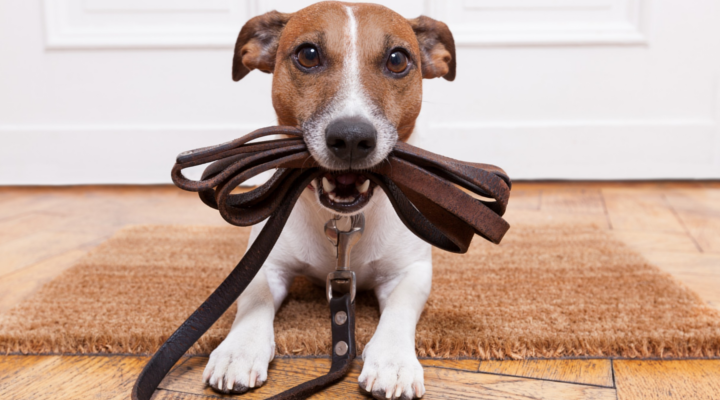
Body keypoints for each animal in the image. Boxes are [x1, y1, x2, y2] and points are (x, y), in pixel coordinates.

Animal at [201, 2, 456, 396]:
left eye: (397, 59)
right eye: (308, 54)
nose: (351, 137)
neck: (344, 222)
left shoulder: (411, 271)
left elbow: (399, 310)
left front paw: (393, 361)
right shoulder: (265, 262)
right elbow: (253, 299)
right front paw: (238, 350)